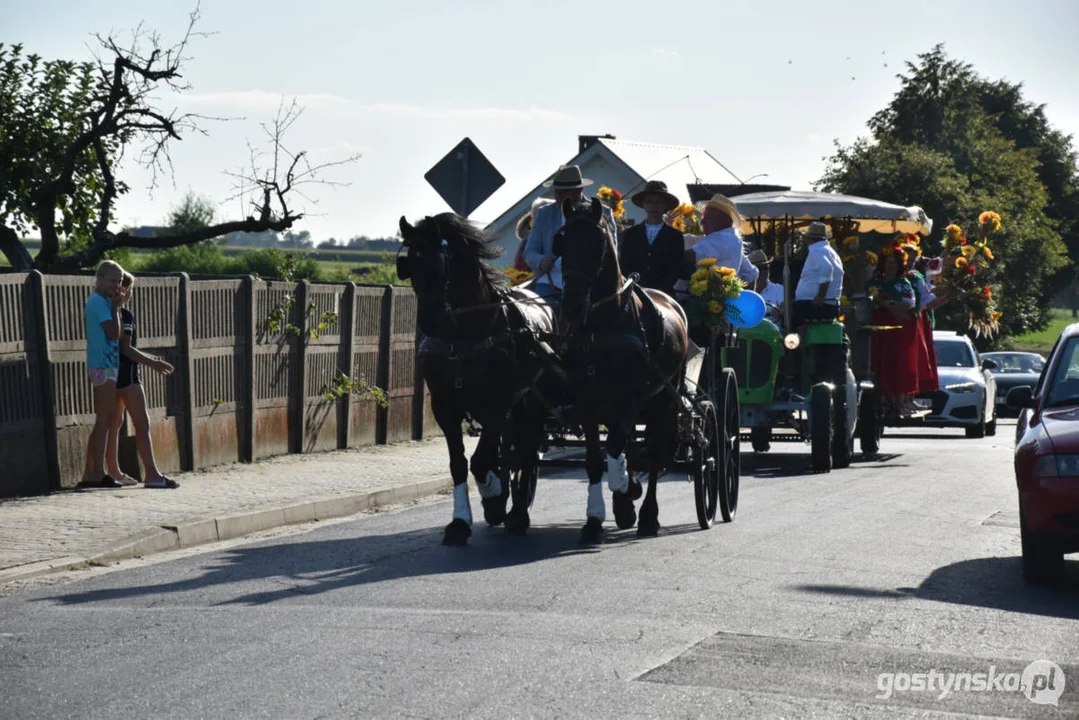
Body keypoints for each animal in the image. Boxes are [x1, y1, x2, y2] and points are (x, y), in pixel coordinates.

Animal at [401, 213, 561, 546]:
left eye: (440, 261)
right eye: (409, 263)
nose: (429, 322)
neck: (464, 333)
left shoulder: (498, 404)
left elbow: (481, 460)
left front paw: (493, 493)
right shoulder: (445, 406)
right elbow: (460, 464)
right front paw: (460, 522)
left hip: (534, 403)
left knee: (525, 451)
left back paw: (516, 514)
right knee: (513, 449)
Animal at [552, 194, 686, 544]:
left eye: (598, 243)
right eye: (562, 241)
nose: (571, 307)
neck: (603, 324)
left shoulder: (632, 398)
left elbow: (616, 449)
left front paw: (628, 491)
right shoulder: (586, 399)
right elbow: (596, 460)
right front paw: (595, 520)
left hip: (663, 400)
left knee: (654, 451)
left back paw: (648, 516)